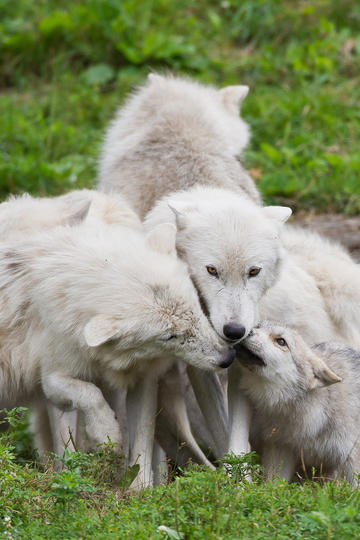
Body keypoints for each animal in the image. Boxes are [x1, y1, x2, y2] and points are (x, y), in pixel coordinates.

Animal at [0, 199, 233, 490]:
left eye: (196, 309)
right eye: (170, 336)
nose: (227, 357)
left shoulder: (144, 379)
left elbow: (142, 439)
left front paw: (140, 489)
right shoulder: (52, 378)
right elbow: (88, 395)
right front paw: (106, 435)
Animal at [236, 320, 360, 486]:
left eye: (281, 341)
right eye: (258, 326)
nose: (246, 330)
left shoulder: (350, 459)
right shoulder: (281, 448)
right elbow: (273, 485)